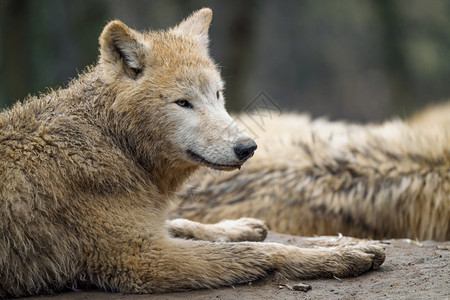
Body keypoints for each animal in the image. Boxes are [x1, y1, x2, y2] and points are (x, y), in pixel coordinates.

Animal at [0, 8, 384, 296]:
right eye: (183, 103)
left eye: (217, 94)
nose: (248, 147)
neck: (111, 141)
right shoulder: (141, 258)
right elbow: (261, 251)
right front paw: (343, 255)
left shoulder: (149, 229)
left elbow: (185, 223)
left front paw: (237, 227)